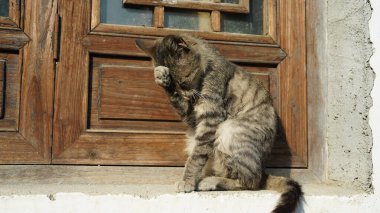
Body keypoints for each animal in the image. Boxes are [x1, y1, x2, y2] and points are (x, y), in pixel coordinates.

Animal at [135, 34, 302, 212]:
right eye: (175, 85)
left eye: (183, 82)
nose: (183, 93)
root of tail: (263, 169)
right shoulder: (192, 118)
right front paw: (162, 78)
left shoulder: (211, 118)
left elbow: (196, 157)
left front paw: (187, 181)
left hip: (229, 131)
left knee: (251, 182)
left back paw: (211, 181)